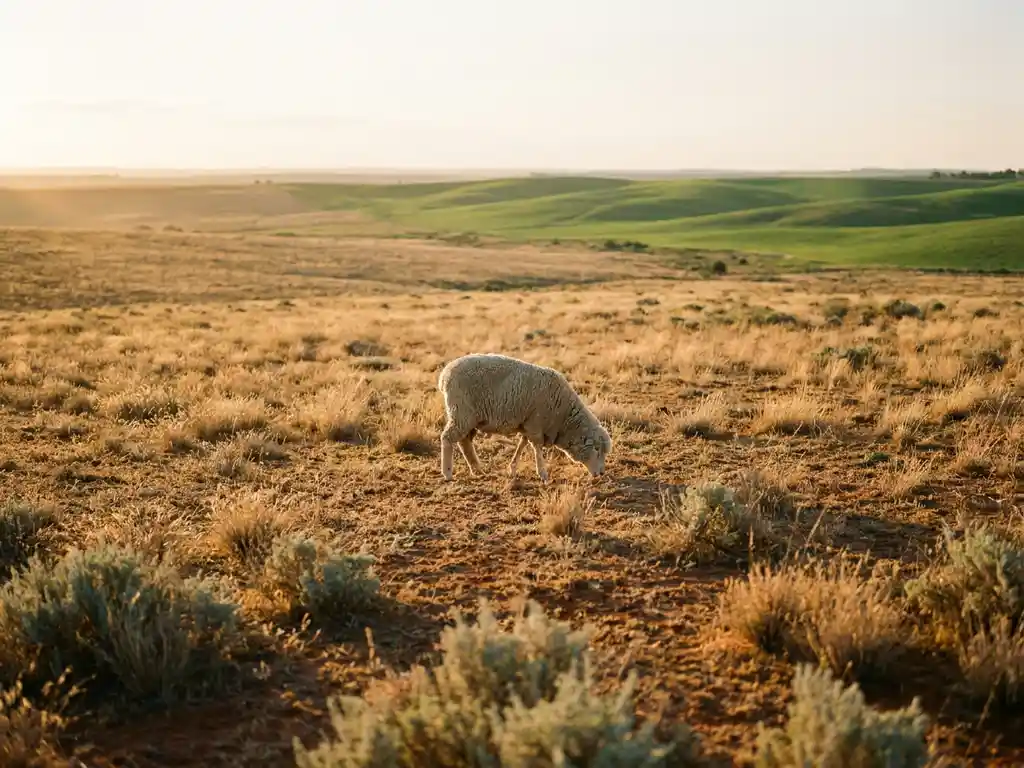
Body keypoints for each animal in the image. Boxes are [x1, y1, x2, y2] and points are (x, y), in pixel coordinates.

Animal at [437, 353, 612, 483]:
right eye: (597, 449)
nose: (602, 473)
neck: (564, 419)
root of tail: (444, 375)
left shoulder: (527, 423)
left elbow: (522, 444)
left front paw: (512, 468)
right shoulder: (535, 423)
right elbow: (536, 448)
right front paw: (543, 474)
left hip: (470, 418)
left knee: (465, 441)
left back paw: (477, 469)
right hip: (461, 413)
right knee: (447, 438)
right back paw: (447, 473)